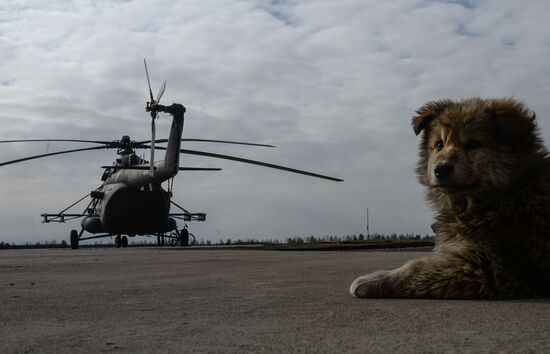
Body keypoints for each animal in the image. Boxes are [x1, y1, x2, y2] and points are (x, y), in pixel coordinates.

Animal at [352, 98, 550, 300]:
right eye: (439, 145)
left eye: (473, 144)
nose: (440, 170)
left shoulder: (492, 265)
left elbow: (418, 267)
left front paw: (372, 281)